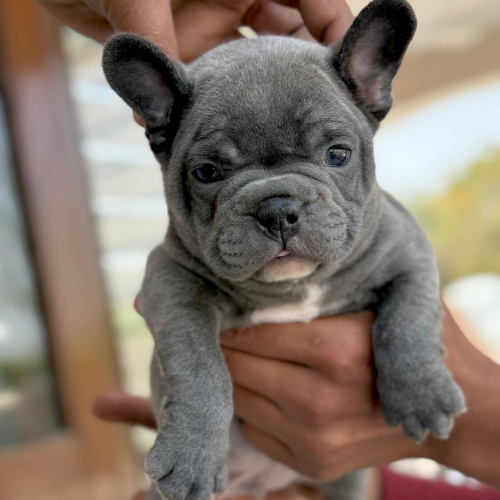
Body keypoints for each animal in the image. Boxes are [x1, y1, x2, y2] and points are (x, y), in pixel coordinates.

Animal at [102, 1, 466, 499]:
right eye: (207, 172)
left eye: (337, 154)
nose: (277, 208)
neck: (294, 288)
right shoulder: (173, 284)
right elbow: (198, 368)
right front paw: (192, 456)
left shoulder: (407, 251)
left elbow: (406, 321)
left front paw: (421, 397)